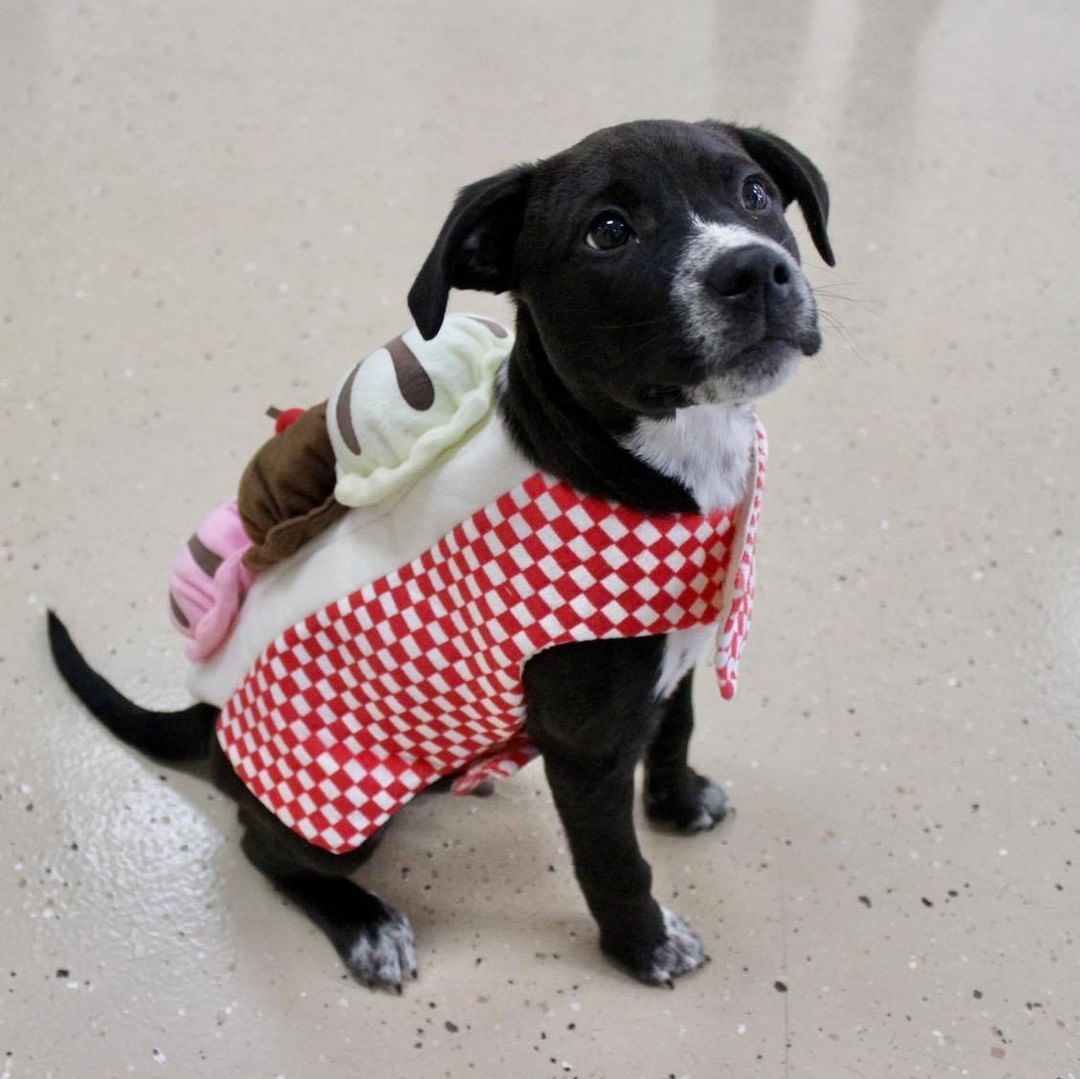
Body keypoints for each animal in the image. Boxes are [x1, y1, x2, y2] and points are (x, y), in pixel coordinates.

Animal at [50, 118, 833, 989]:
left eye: (753, 192)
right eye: (608, 231)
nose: (756, 270)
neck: (647, 471)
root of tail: (210, 720)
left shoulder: (676, 661)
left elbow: (678, 728)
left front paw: (679, 800)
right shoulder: (587, 750)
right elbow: (616, 862)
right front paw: (644, 943)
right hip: (338, 818)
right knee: (263, 850)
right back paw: (365, 923)